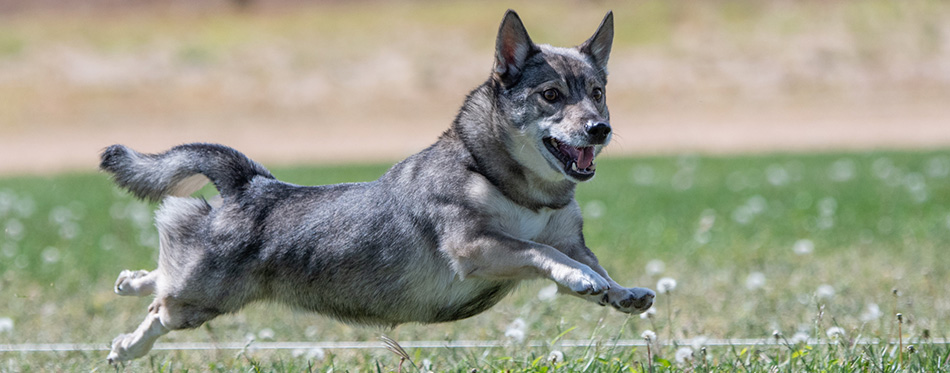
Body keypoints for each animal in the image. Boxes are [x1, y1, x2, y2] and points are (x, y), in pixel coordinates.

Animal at [104, 9, 656, 364]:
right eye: (551, 95)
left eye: (598, 93)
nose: (600, 129)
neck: (516, 187)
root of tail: (251, 184)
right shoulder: (475, 246)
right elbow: (545, 255)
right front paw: (581, 280)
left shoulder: (568, 239)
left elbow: (592, 265)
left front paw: (620, 292)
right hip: (202, 298)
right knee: (160, 307)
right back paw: (126, 346)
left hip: (202, 290)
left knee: (162, 277)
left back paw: (129, 281)